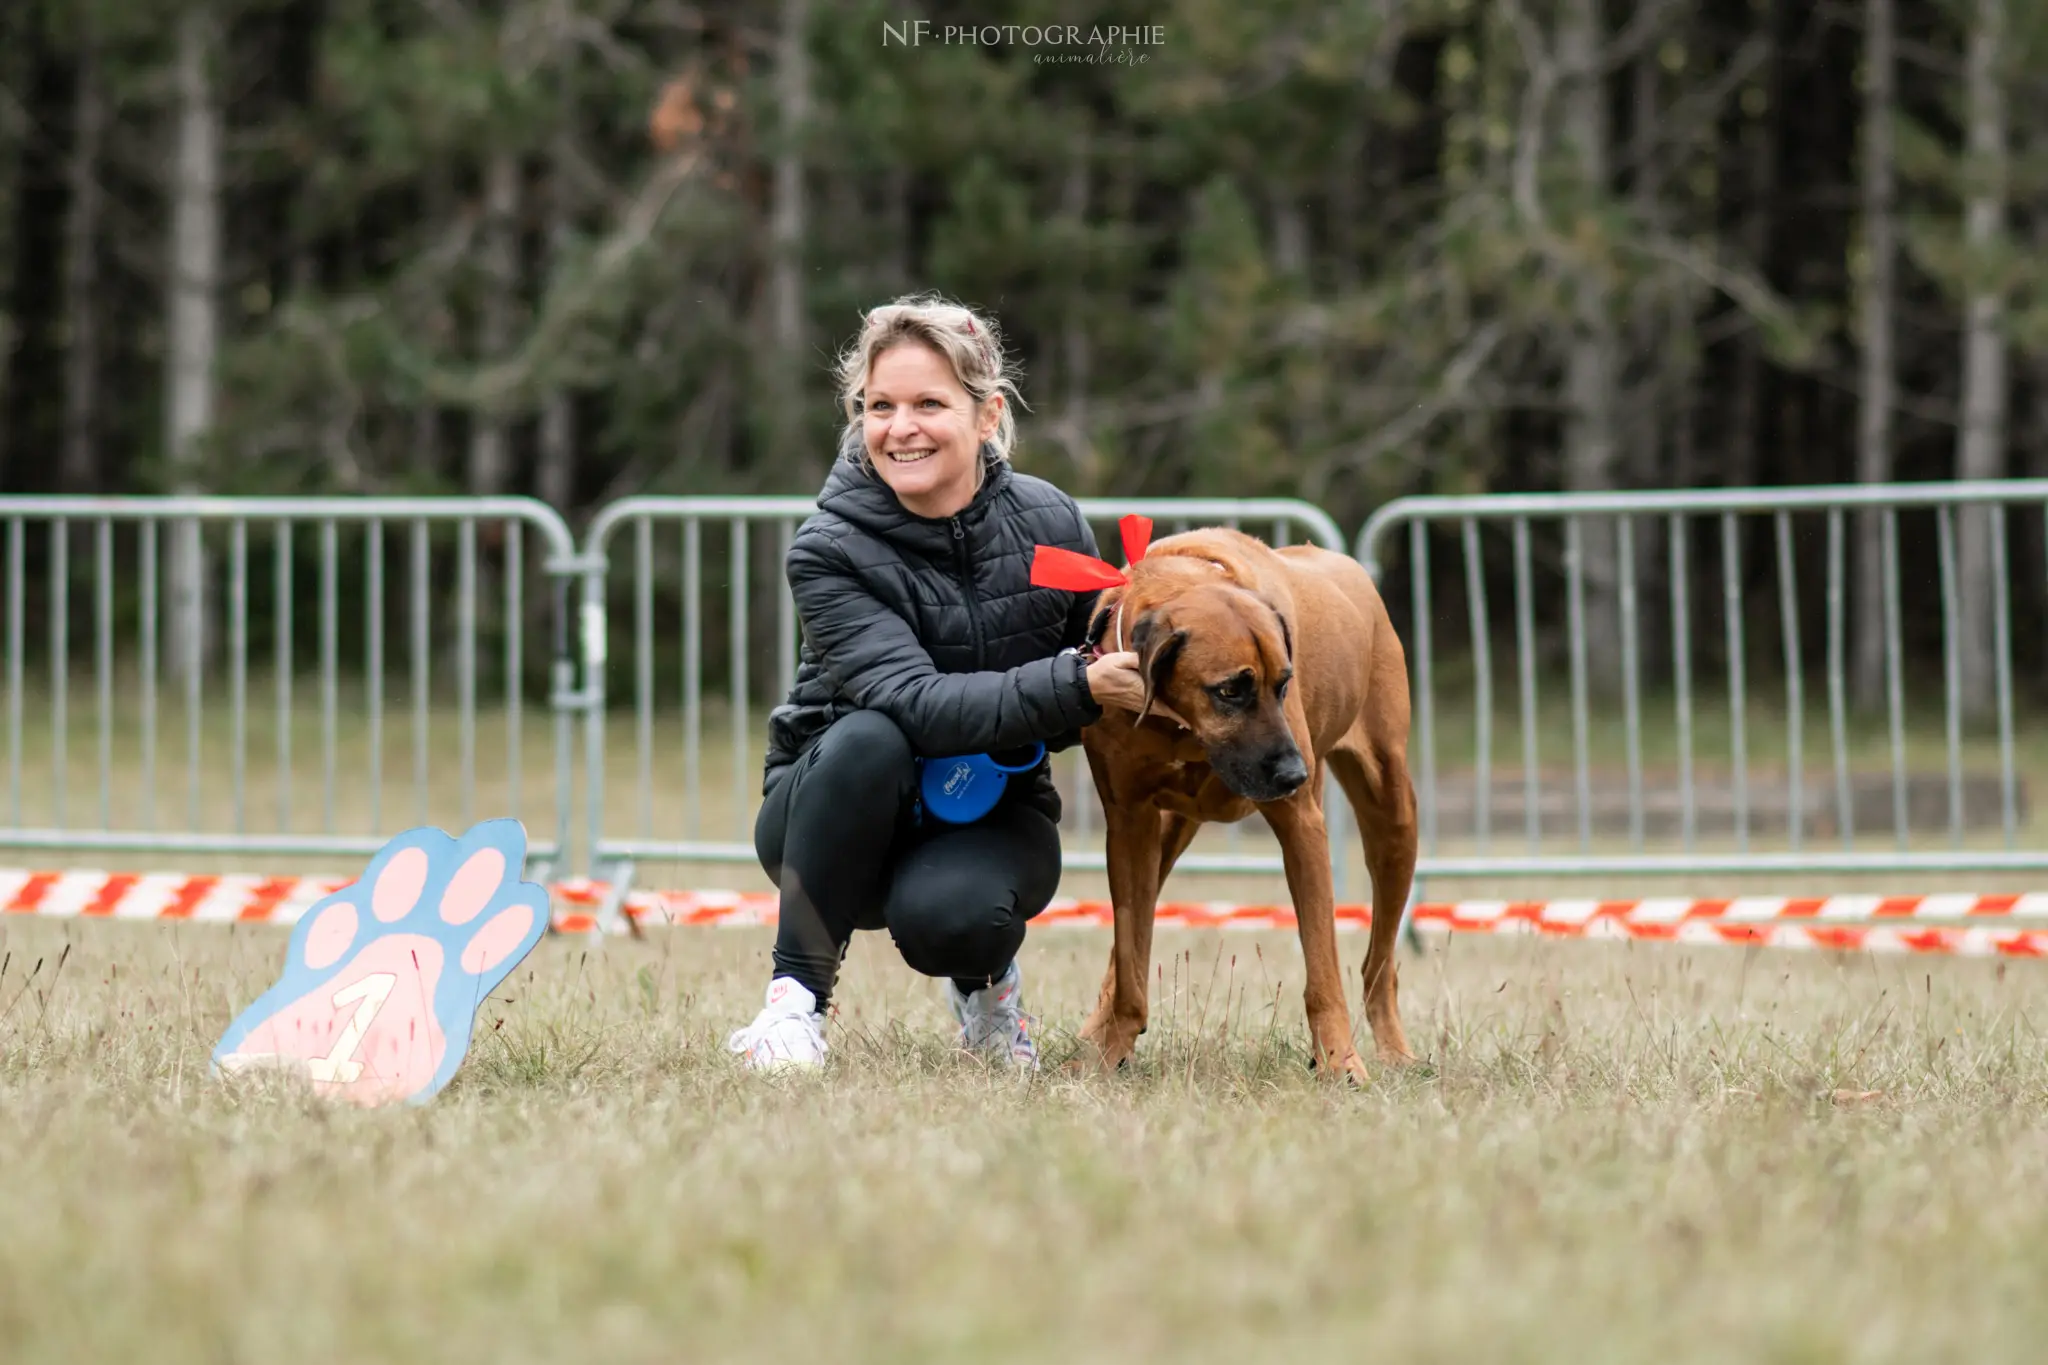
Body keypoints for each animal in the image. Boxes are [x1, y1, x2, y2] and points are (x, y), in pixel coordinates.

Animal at [1073, 527, 1425, 1080]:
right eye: (1230, 691)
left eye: (1283, 683)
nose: (1294, 774)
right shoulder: (1128, 823)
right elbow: (1130, 962)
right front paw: (1109, 1054)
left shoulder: (1303, 824)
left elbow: (1324, 973)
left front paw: (1341, 1063)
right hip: (1170, 830)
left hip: (1392, 811)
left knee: (1379, 964)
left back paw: (1395, 1052)